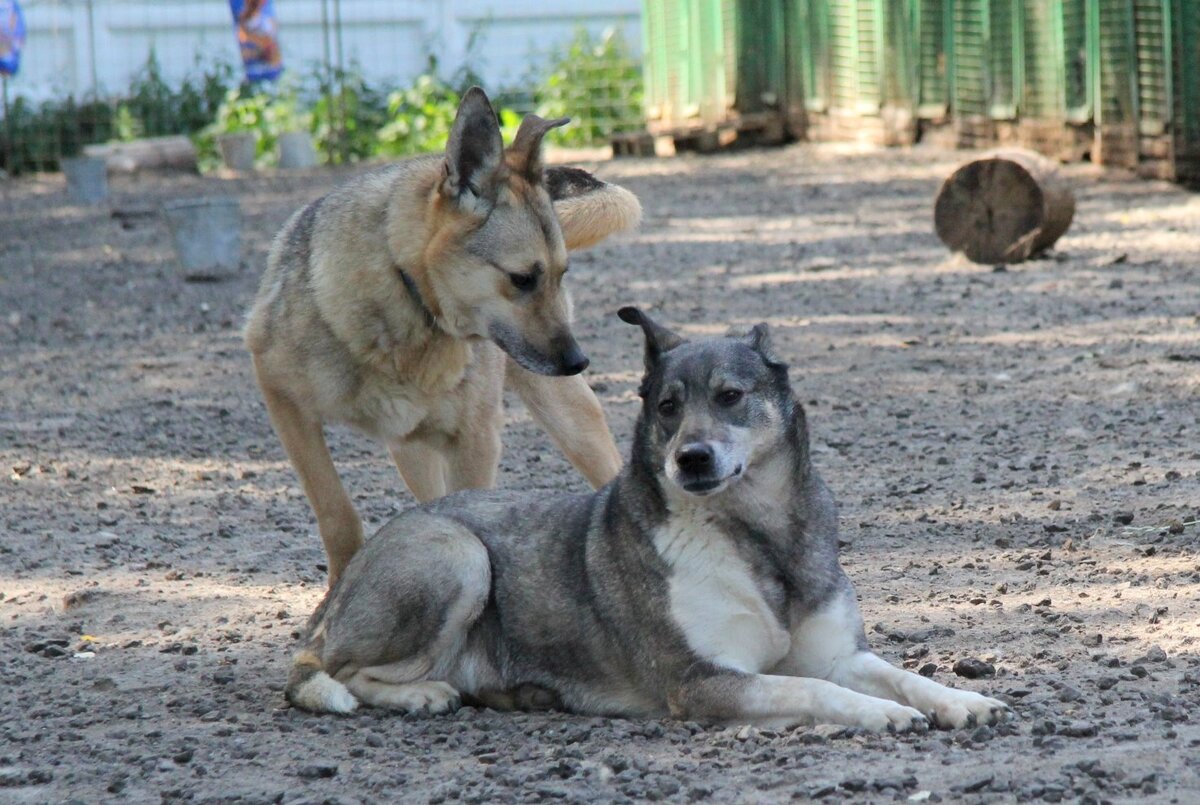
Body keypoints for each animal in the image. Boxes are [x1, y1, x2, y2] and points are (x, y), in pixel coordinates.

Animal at [241, 88, 638, 583]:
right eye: (523, 278)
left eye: (561, 274)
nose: (577, 361)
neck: (406, 298)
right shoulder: (284, 401)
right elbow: (337, 514)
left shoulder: (475, 438)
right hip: (413, 449)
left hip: (569, 420)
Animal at [283, 305, 1012, 734]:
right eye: (667, 405)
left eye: (730, 396)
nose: (690, 457)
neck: (756, 534)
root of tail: (344, 582)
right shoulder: (705, 681)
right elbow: (812, 688)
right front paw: (885, 714)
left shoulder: (840, 653)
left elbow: (898, 672)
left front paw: (960, 700)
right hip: (456, 555)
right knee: (334, 673)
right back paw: (421, 695)